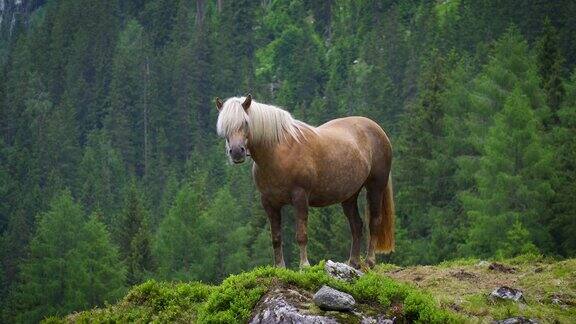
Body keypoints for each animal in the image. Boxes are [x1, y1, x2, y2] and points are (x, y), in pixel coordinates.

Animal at [216, 93, 396, 268]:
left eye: (245, 122)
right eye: (224, 126)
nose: (237, 152)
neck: (278, 153)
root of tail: (377, 129)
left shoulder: (300, 197)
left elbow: (301, 235)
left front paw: (304, 265)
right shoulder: (269, 203)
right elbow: (276, 238)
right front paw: (280, 267)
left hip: (375, 187)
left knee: (374, 221)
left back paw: (370, 261)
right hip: (349, 195)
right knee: (357, 225)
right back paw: (353, 262)